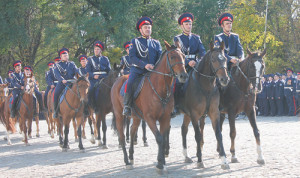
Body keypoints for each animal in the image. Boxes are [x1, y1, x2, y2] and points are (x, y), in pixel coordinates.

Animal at [111, 41, 188, 173]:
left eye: (183, 56)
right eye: (172, 57)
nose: (183, 76)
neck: (160, 89)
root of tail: (117, 81)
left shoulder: (165, 118)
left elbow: (163, 138)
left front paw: (162, 162)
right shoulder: (149, 118)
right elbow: (159, 138)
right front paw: (160, 164)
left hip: (136, 116)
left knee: (132, 131)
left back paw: (131, 157)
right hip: (119, 115)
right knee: (122, 136)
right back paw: (127, 161)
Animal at [175, 41, 231, 170]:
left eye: (225, 59)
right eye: (213, 59)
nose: (224, 79)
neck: (206, 87)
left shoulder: (214, 113)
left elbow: (218, 134)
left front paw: (224, 160)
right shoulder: (195, 115)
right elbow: (198, 136)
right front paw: (200, 161)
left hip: (187, 115)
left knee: (183, 129)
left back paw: (186, 156)